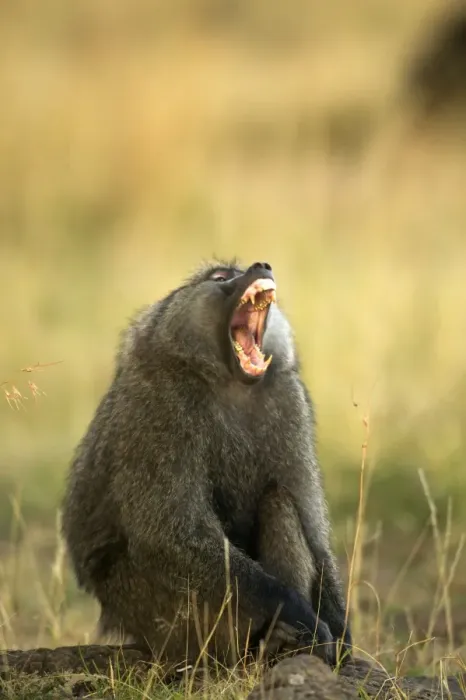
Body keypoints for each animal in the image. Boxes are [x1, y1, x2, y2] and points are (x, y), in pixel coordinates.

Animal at [61, 259, 352, 674]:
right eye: (220, 277)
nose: (262, 265)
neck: (228, 379)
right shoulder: (160, 406)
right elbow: (169, 534)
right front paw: (298, 612)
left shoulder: (289, 400)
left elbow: (314, 534)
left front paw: (338, 628)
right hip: (159, 617)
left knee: (279, 502)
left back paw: (281, 646)